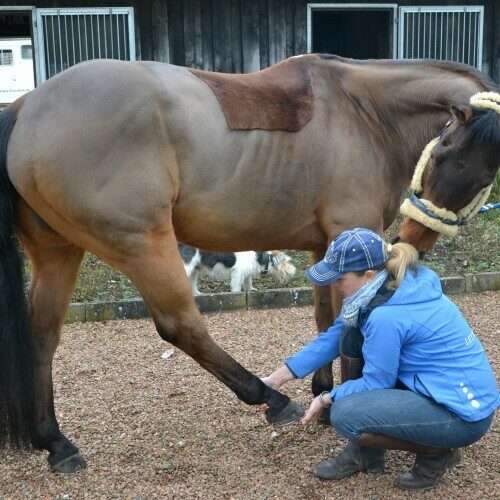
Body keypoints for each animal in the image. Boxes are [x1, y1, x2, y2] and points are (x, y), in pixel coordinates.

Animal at [0, 54, 498, 472]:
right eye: (442, 148)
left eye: (484, 178)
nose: (412, 238)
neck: (365, 113)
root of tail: (27, 106)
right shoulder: (349, 230)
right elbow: (349, 321)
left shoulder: (325, 247)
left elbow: (324, 317)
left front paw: (324, 392)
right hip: (143, 245)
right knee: (181, 325)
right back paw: (269, 398)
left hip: (59, 251)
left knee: (42, 335)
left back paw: (56, 442)